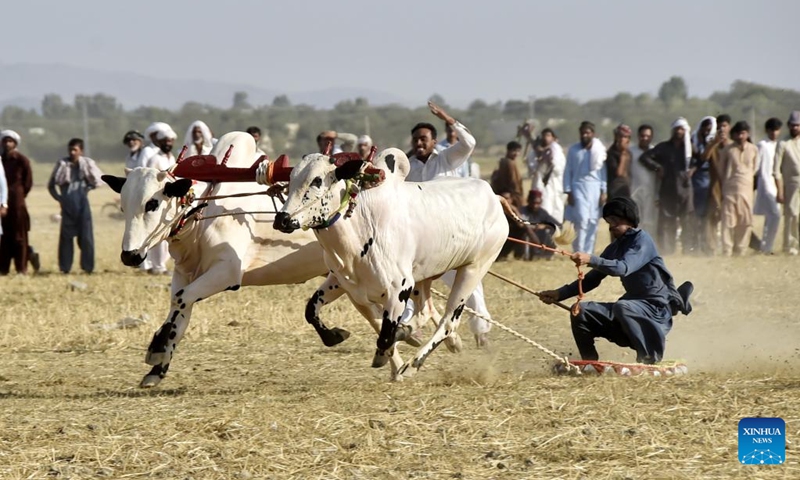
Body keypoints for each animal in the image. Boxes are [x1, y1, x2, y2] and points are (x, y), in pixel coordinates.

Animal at [101, 132, 364, 388]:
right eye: (123, 207)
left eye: (152, 204)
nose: (130, 255)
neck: (204, 212)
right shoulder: (184, 275)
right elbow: (179, 311)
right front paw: (157, 369)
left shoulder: (226, 272)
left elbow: (181, 300)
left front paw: (156, 349)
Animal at [271, 148, 509, 381]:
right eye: (291, 179)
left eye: (317, 180)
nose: (282, 219)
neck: (361, 227)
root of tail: (493, 196)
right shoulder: (345, 286)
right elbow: (312, 310)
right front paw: (336, 335)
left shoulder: (399, 289)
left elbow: (385, 336)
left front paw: (390, 358)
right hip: (424, 277)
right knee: (426, 310)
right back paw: (421, 336)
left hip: (473, 269)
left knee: (448, 322)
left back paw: (413, 364)